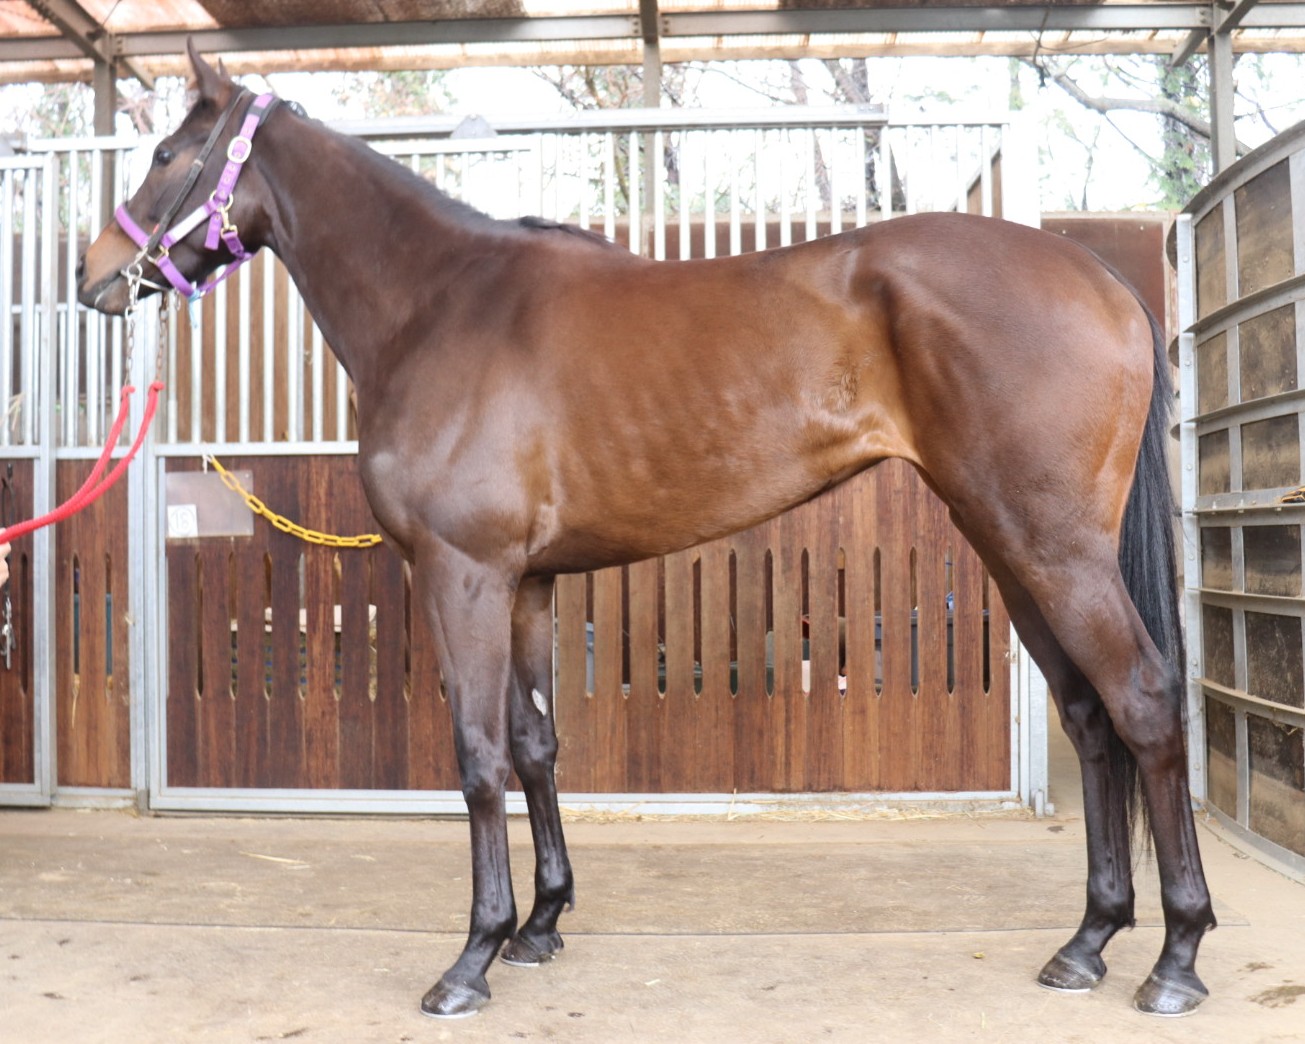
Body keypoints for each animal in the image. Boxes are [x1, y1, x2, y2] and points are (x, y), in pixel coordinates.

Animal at [78, 43, 1215, 1020]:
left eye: (167, 153)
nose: (95, 275)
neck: (441, 306)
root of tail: (1100, 278)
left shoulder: (460, 574)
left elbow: (477, 753)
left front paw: (472, 956)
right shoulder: (527, 583)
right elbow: (535, 744)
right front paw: (540, 924)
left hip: (1055, 551)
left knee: (1144, 702)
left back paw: (1174, 956)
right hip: (1009, 546)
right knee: (1088, 716)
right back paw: (1087, 941)